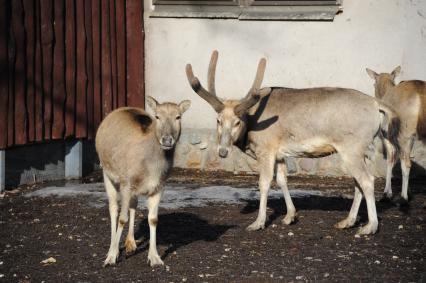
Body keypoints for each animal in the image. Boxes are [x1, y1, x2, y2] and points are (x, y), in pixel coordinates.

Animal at [96, 96, 191, 268]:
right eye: (157, 116)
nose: (167, 140)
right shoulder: (126, 182)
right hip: (106, 171)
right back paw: (112, 247)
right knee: (113, 208)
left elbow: (153, 219)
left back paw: (131, 243)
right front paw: (111, 257)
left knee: (133, 205)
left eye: (178, 117)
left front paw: (155, 258)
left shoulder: (159, 186)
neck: (151, 169)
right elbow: (122, 218)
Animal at [186, 50, 400, 235]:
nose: (222, 151)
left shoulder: (266, 149)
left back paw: (370, 226)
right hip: (359, 150)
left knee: (367, 180)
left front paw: (258, 222)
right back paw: (348, 221)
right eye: (218, 120)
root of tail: (377, 105)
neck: (252, 123)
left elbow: (264, 182)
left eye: (237, 122)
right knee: (358, 182)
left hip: (352, 147)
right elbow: (282, 180)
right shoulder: (280, 153)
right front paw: (290, 215)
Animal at [366, 66, 426, 204]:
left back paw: (403, 199)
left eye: (374, 83)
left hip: (404, 133)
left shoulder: (387, 135)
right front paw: (409, 192)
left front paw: (387, 194)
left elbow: (390, 160)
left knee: (407, 164)